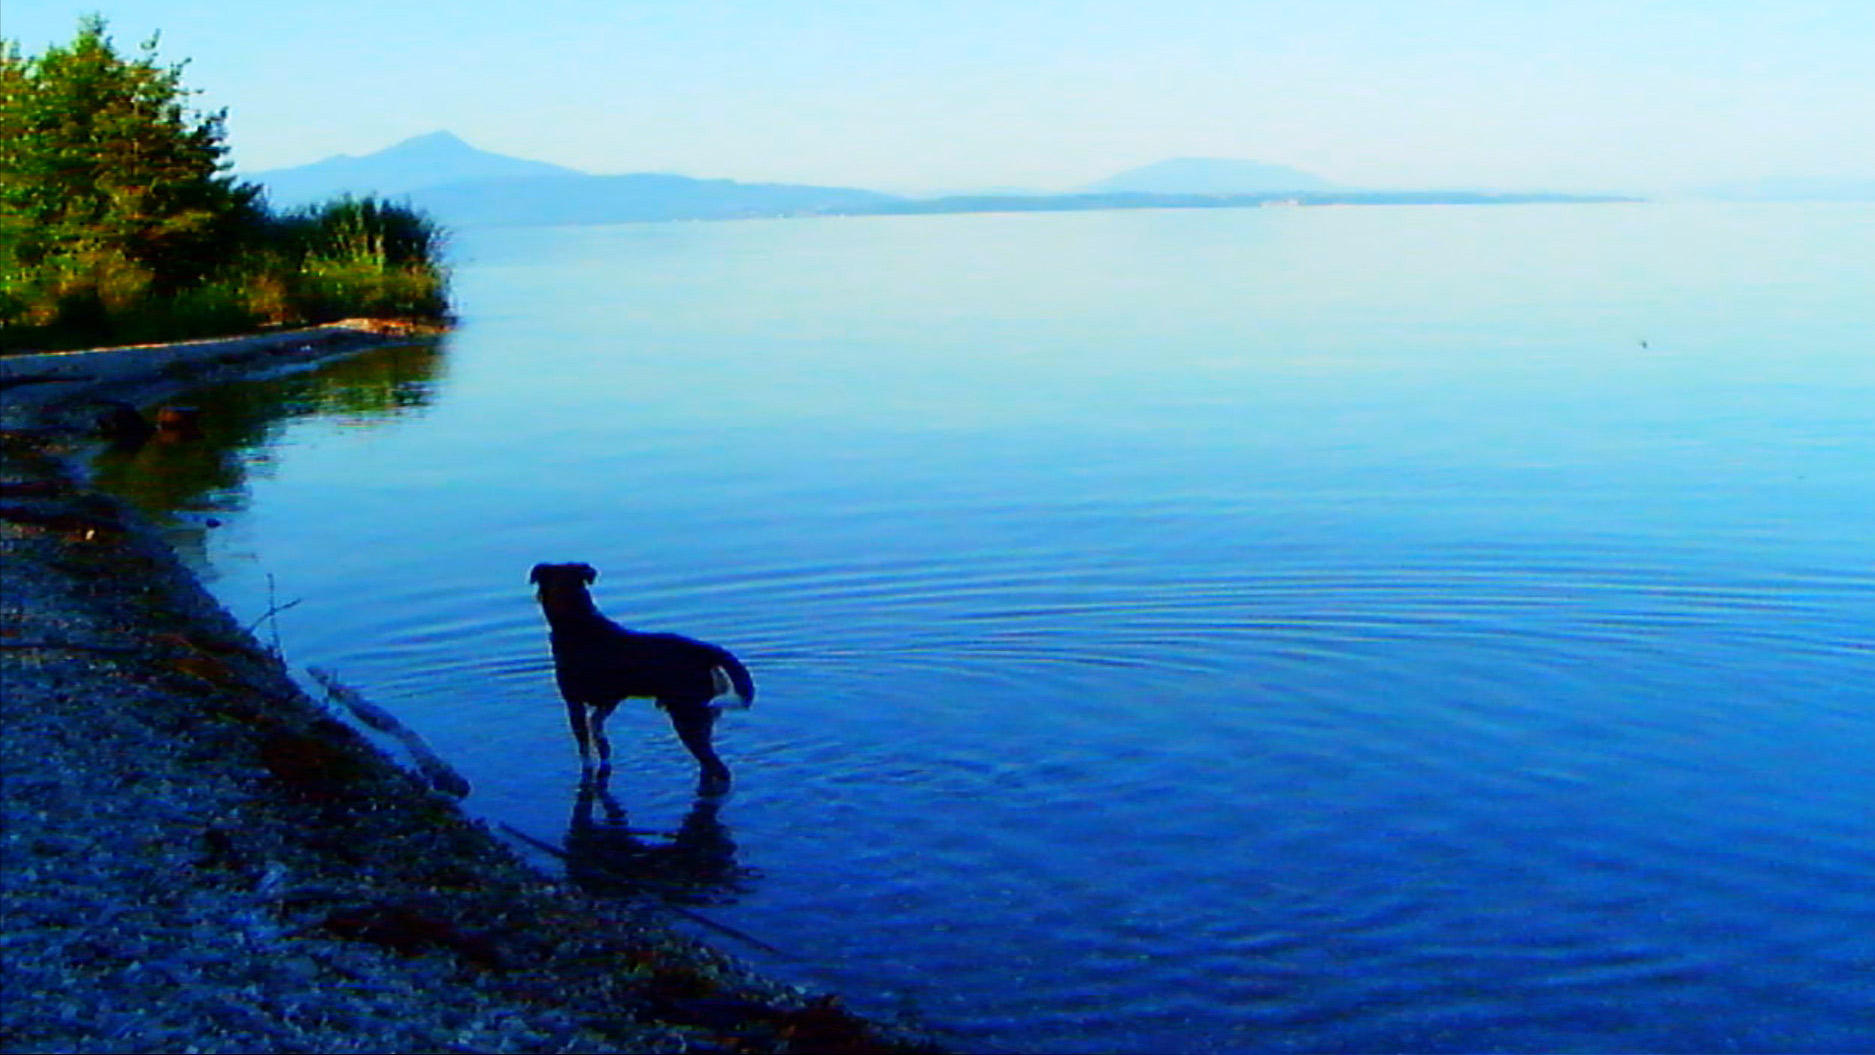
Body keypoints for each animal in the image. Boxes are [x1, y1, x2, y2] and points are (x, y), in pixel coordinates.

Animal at [528, 562, 753, 794]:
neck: (577, 622)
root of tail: (708, 652)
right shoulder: (611, 699)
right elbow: (597, 728)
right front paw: (604, 754)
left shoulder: (574, 702)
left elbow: (584, 748)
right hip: (701, 714)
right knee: (708, 762)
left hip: (687, 717)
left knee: (718, 767)